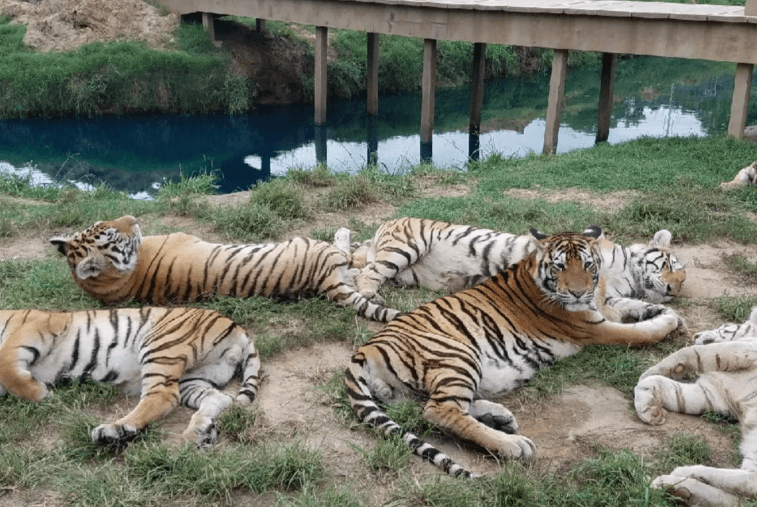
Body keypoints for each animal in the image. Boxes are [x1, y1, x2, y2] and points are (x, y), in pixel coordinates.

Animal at [0, 306, 260, 448]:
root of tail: (238, 329)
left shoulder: (32, 329)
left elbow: (6, 364)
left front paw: (42, 394)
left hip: (160, 345)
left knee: (162, 396)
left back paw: (112, 430)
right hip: (193, 377)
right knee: (218, 398)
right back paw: (197, 434)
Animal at [49, 215, 400, 323]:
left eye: (102, 226)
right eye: (111, 233)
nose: (133, 219)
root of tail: (325, 282)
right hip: (313, 245)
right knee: (347, 256)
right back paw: (344, 234)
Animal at [344, 217, 685, 309]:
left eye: (683, 282)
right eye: (669, 264)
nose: (673, 289)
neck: (628, 275)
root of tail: (383, 226)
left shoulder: (609, 296)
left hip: (403, 270)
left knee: (361, 269)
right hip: (405, 247)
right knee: (366, 273)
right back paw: (370, 294)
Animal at [345, 226, 683, 478]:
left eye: (588, 265)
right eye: (560, 266)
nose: (578, 293)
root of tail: (366, 349)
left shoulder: (603, 306)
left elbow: (631, 307)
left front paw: (657, 309)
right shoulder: (594, 327)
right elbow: (640, 333)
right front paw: (668, 319)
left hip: (419, 384)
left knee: (429, 406)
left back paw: (500, 417)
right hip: (457, 353)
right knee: (440, 411)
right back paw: (513, 445)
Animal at [634, 308, 757, 507]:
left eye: (724, 326)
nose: (696, 335)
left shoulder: (743, 349)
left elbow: (692, 351)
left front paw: (650, 371)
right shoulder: (711, 393)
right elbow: (671, 389)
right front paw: (648, 408)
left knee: (749, 482)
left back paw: (683, 474)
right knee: (744, 491)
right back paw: (676, 488)